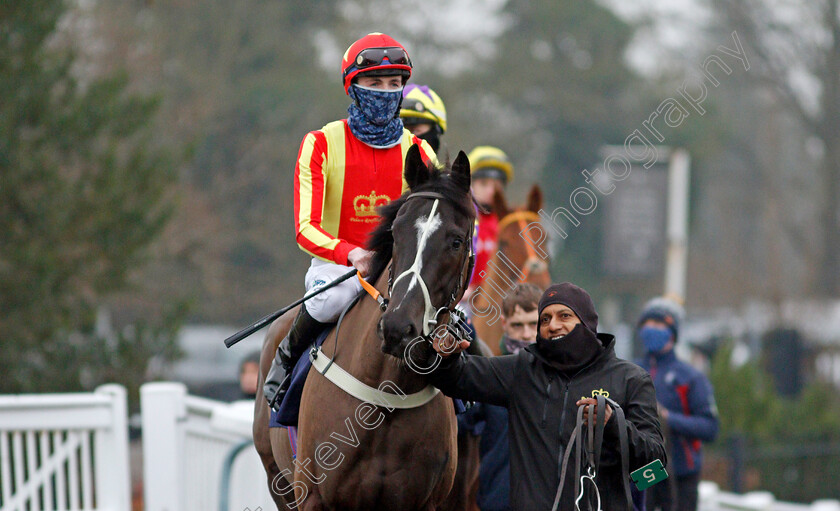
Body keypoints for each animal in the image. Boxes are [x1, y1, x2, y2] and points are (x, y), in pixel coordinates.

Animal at [249, 146, 476, 510]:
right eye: (396, 231)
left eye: (455, 241)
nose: (398, 328)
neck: (385, 397)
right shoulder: (313, 496)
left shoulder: (424, 501)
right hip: (278, 482)